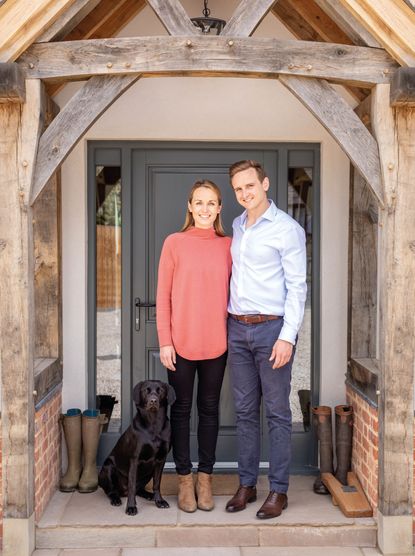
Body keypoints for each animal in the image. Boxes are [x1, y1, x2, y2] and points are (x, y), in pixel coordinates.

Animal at [98, 380, 176, 516]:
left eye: (160, 390)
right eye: (146, 390)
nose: (153, 401)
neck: (154, 424)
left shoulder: (161, 460)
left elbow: (157, 484)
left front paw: (159, 501)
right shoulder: (134, 460)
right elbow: (132, 486)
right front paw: (131, 507)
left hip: (149, 472)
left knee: (140, 489)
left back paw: (149, 495)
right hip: (108, 466)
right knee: (111, 491)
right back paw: (116, 499)